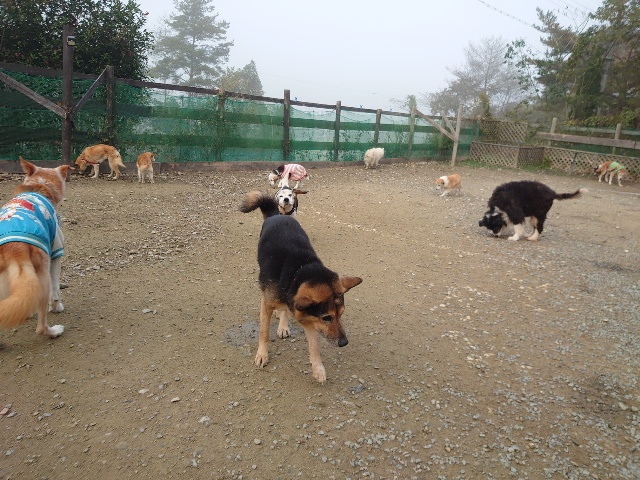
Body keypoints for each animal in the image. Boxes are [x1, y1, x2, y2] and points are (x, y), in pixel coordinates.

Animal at [0, 157, 70, 339]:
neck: (41, 185)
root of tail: (15, 247)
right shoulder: (56, 252)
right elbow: (56, 292)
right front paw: (56, 307)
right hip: (42, 277)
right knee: (41, 327)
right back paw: (54, 331)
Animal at [240, 191, 362, 383]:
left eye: (341, 314)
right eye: (327, 318)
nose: (344, 343)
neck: (298, 272)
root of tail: (277, 215)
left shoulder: (309, 318)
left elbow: (314, 346)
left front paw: (318, 368)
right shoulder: (268, 303)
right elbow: (264, 332)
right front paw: (262, 355)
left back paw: (283, 324)